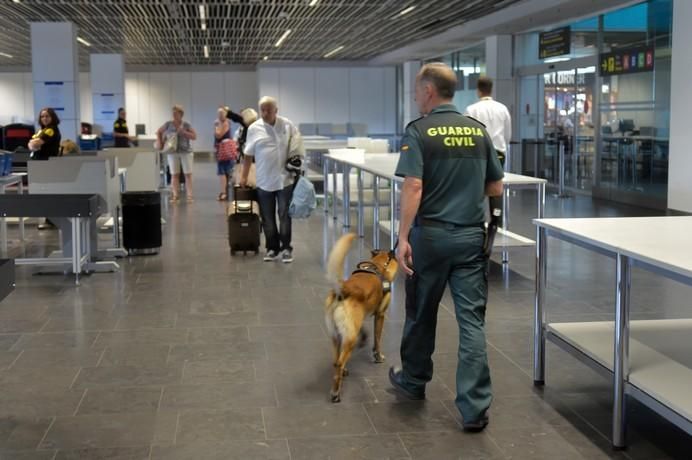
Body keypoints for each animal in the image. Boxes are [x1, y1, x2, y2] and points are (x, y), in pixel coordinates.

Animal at [326, 234, 398, 402]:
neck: (379, 266)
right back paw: (336, 392)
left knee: (336, 360)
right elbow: (377, 340)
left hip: (337, 336)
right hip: (349, 340)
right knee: (339, 363)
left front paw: (365, 338)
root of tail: (343, 290)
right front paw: (378, 356)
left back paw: (342, 373)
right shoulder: (380, 315)